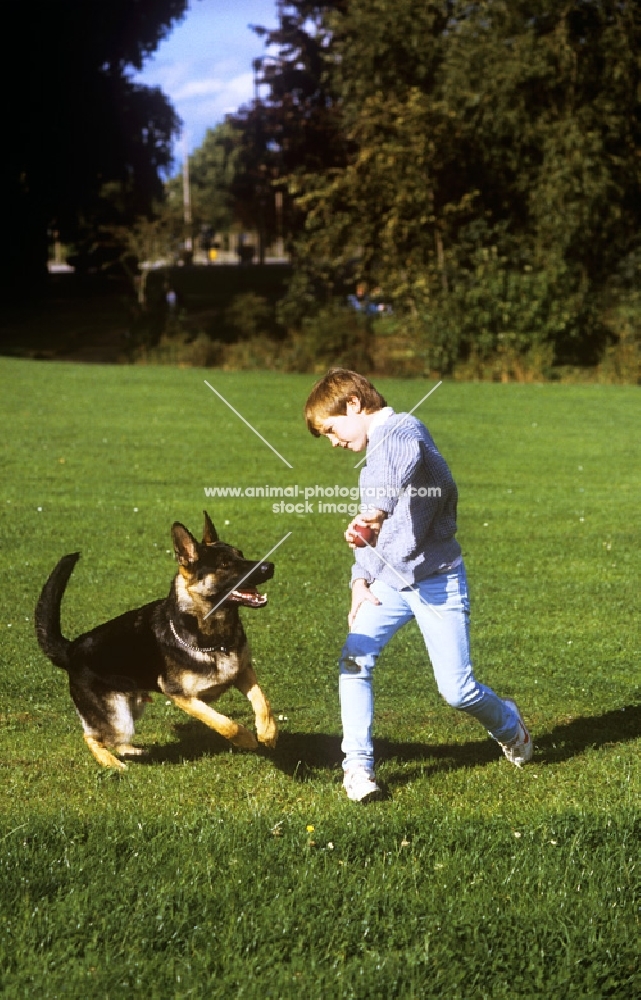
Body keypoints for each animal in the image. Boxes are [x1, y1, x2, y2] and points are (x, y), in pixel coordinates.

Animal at [35, 512, 278, 768]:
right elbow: (224, 723)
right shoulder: (182, 696)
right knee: (92, 735)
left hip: (133, 705)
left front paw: (267, 733)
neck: (212, 636)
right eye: (224, 564)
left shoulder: (243, 672)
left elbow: (262, 702)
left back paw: (131, 751)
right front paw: (246, 739)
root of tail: (71, 648)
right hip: (120, 720)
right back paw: (111, 763)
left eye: (240, 554)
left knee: (110, 738)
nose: (270, 566)